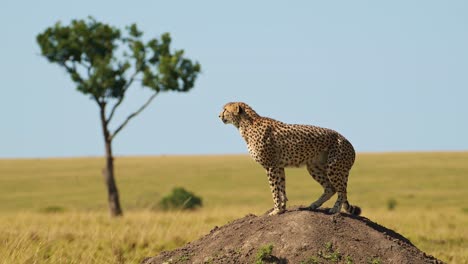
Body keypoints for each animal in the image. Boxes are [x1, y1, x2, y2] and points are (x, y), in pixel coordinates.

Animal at [219, 102, 362, 216]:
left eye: (225, 109)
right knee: (330, 188)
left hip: (334, 168)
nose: (219, 116)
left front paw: (276, 210)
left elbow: (274, 190)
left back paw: (335, 209)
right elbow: (281, 188)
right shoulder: (278, 166)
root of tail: (347, 141)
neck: (245, 124)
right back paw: (314, 205)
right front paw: (282, 208)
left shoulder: (270, 166)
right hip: (314, 167)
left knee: (342, 191)